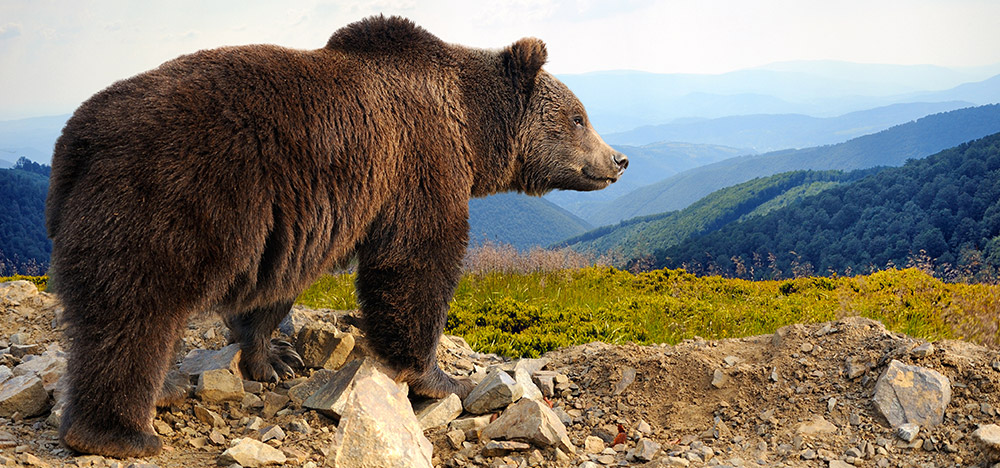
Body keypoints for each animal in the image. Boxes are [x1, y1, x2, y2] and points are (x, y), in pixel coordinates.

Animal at [47, 14, 628, 458]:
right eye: (579, 117)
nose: (618, 160)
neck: (471, 128)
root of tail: (77, 138)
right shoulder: (418, 164)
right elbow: (417, 264)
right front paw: (440, 378)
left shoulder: (295, 220)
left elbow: (275, 289)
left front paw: (275, 357)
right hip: (169, 197)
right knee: (135, 312)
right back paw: (121, 431)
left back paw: (163, 388)